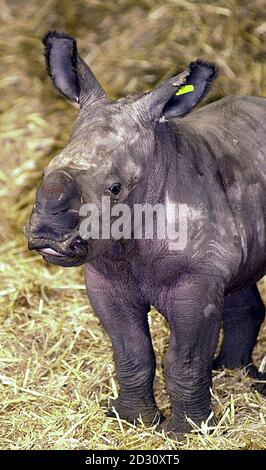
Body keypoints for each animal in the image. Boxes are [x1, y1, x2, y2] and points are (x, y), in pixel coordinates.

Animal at [25, 32, 266, 436]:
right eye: (46, 170)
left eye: (116, 188)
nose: (47, 236)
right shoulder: (106, 278)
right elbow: (132, 353)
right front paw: (131, 420)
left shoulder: (195, 282)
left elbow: (184, 361)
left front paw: (188, 432)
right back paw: (233, 373)